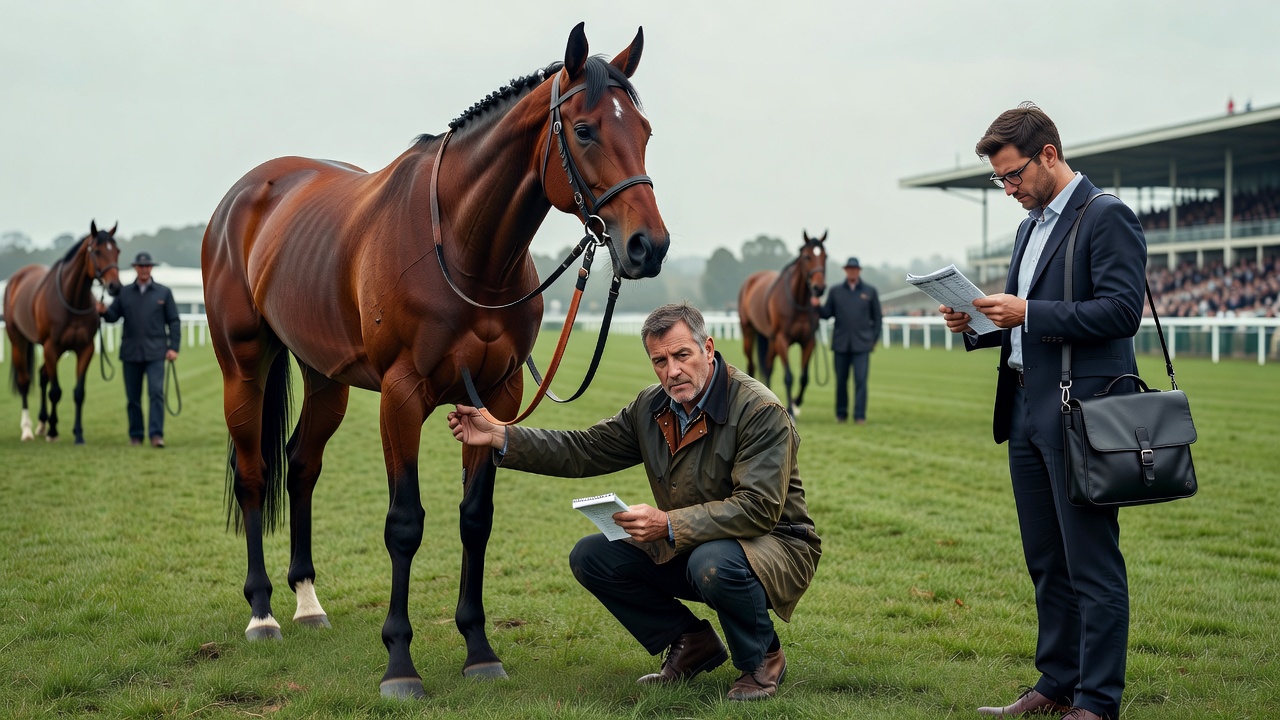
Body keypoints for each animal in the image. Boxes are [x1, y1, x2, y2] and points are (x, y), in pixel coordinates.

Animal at [4, 221, 122, 444]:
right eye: (97, 251)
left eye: (117, 251)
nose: (115, 287)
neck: (72, 300)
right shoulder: (52, 347)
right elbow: (56, 392)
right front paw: (53, 431)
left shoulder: (85, 349)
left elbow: (78, 393)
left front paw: (78, 434)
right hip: (18, 341)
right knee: (25, 381)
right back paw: (28, 429)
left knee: (42, 376)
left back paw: (42, 423)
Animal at [201, 23, 668, 698]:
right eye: (584, 130)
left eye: (646, 130)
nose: (647, 246)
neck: (465, 251)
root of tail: (245, 194)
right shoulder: (401, 396)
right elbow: (405, 523)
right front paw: (400, 662)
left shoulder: (494, 398)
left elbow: (476, 518)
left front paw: (479, 649)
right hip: (243, 367)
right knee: (256, 473)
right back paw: (263, 612)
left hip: (326, 379)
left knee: (302, 465)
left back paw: (308, 602)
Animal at [737, 230, 828, 416]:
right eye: (807, 256)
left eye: (825, 256)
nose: (819, 288)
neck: (797, 302)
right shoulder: (782, 339)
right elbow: (789, 376)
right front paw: (792, 410)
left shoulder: (808, 341)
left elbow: (804, 377)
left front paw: (796, 402)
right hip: (749, 333)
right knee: (752, 366)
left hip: (770, 339)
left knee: (767, 366)